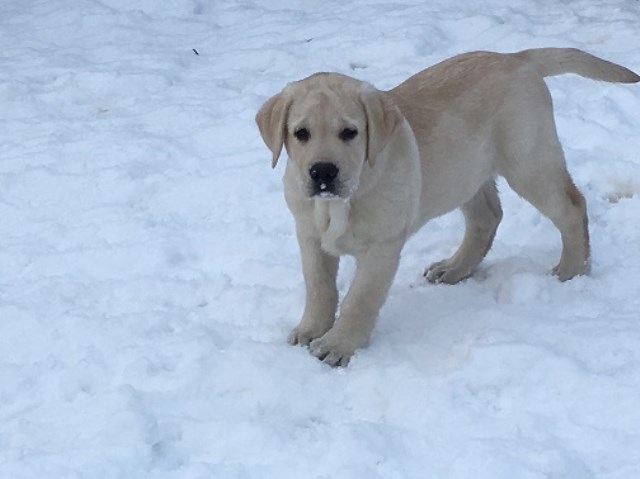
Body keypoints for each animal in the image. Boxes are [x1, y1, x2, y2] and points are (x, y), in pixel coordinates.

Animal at [256, 48, 640, 366]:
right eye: (301, 133)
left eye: (349, 133)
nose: (322, 172)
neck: (339, 204)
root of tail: (516, 58)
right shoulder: (309, 236)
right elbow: (319, 288)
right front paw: (310, 330)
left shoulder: (383, 246)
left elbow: (359, 298)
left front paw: (338, 344)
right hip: (467, 173)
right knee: (488, 217)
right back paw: (454, 268)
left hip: (528, 163)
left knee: (572, 206)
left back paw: (572, 269)